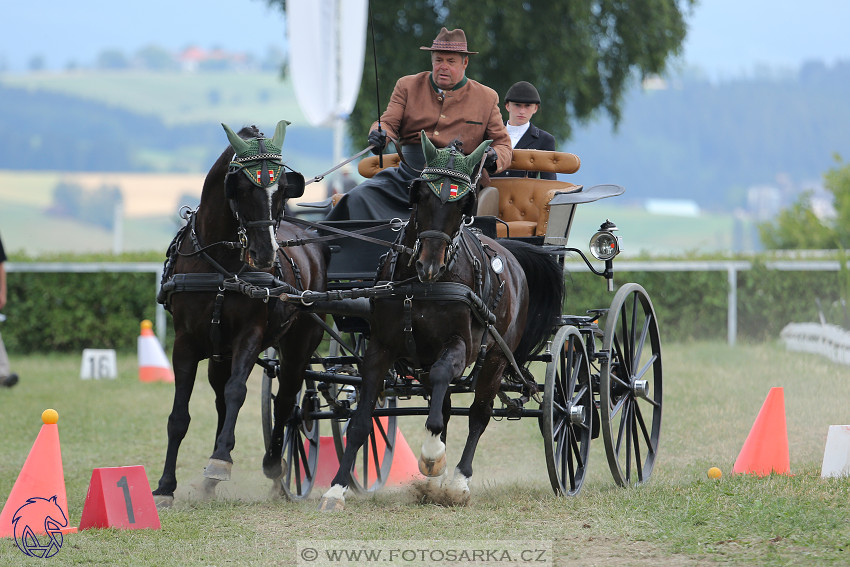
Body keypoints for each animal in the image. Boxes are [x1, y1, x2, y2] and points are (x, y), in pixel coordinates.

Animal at [152, 121, 328, 506]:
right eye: (243, 188)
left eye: (282, 191)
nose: (265, 255)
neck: (220, 263)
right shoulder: (185, 342)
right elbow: (179, 416)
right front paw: (165, 486)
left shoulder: (250, 334)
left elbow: (237, 392)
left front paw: (220, 460)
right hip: (220, 353)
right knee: (221, 399)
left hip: (300, 344)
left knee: (287, 401)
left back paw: (275, 466)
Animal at [318, 133, 564, 510]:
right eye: (420, 197)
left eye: (463, 206)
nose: (428, 265)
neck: (419, 288)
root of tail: (509, 251)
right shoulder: (380, 348)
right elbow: (360, 422)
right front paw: (336, 488)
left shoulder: (460, 346)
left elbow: (442, 396)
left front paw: (433, 456)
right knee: (446, 405)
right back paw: (435, 483)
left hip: (494, 357)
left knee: (478, 414)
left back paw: (458, 480)